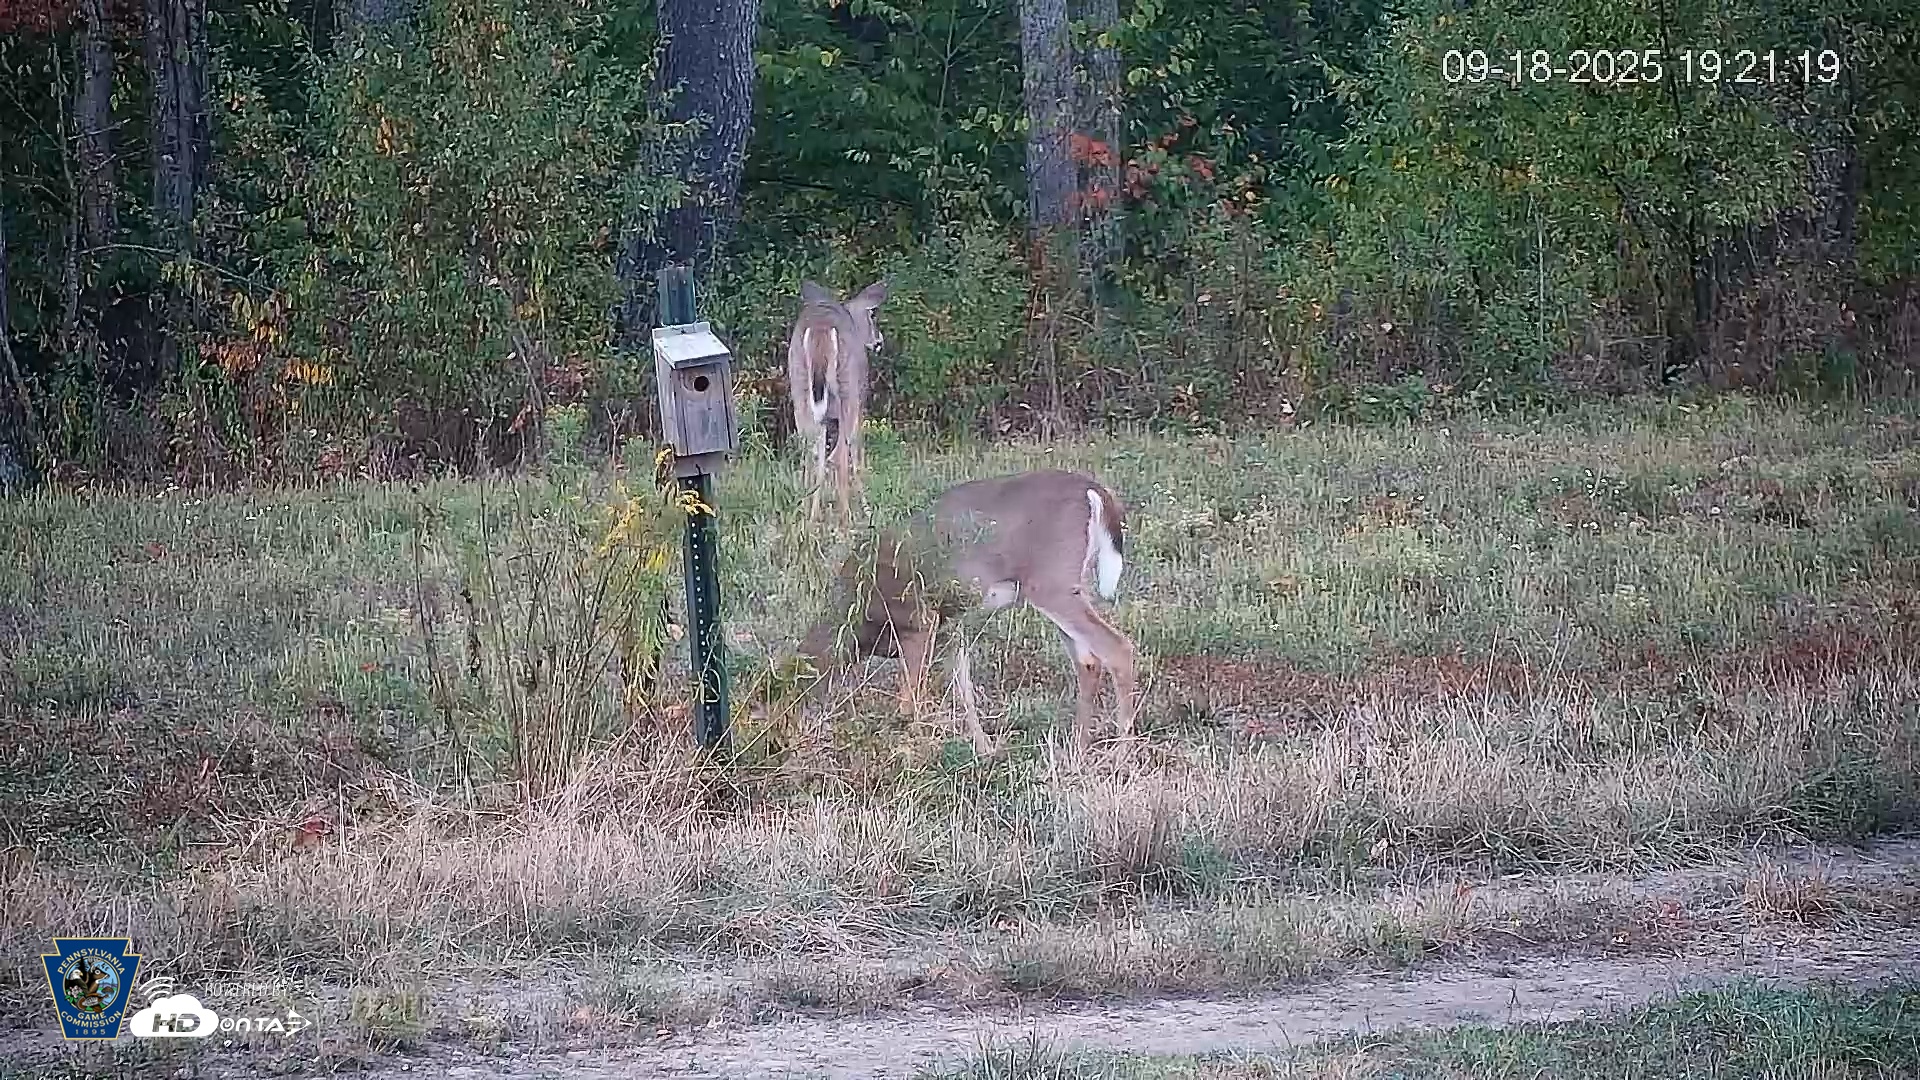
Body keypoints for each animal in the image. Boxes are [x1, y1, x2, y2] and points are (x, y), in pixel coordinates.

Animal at [786, 279, 888, 528]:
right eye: (873, 314)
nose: (879, 341)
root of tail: (821, 328)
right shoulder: (860, 400)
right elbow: (856, 450)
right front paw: (866, 509)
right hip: (847, 389)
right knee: (840, 453)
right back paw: (845, 519)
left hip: (800, 389)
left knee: (809, 451)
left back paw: (807, 516)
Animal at [796, 469, 1138, 757]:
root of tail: (1095, 491)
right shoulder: (951, 624)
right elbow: (963, 687)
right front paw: (985, 749)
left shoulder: (919, 617)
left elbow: (909, 700)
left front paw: (913, 752)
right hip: (1071, 585)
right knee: (1089, 661)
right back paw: (1077, 749)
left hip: (1052, 581)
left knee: (1117, 649)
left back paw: (1121, 754)